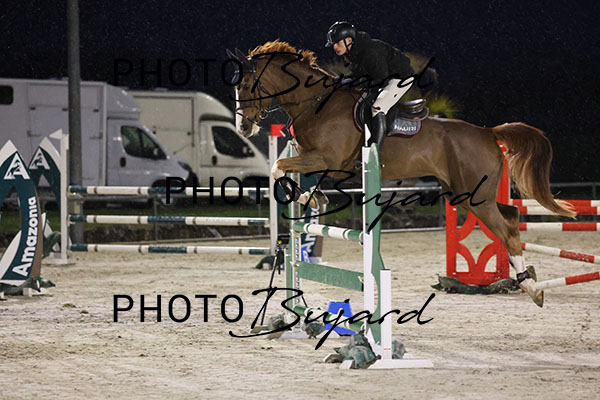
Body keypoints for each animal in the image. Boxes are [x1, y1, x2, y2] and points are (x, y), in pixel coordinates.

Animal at [229, 40, 576, 307]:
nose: (243, 127)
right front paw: (312, 199)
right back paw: (528, 280)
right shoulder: (316, 160)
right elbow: (289, 172)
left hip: (476, 198)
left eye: (246, 85)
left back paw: (530, 287)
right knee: (513, 217)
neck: (316, 104)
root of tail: (488, 133)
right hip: (466, 196)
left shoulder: (328, 158)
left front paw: (306, 199)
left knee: (506, 231)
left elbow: (279, 167)